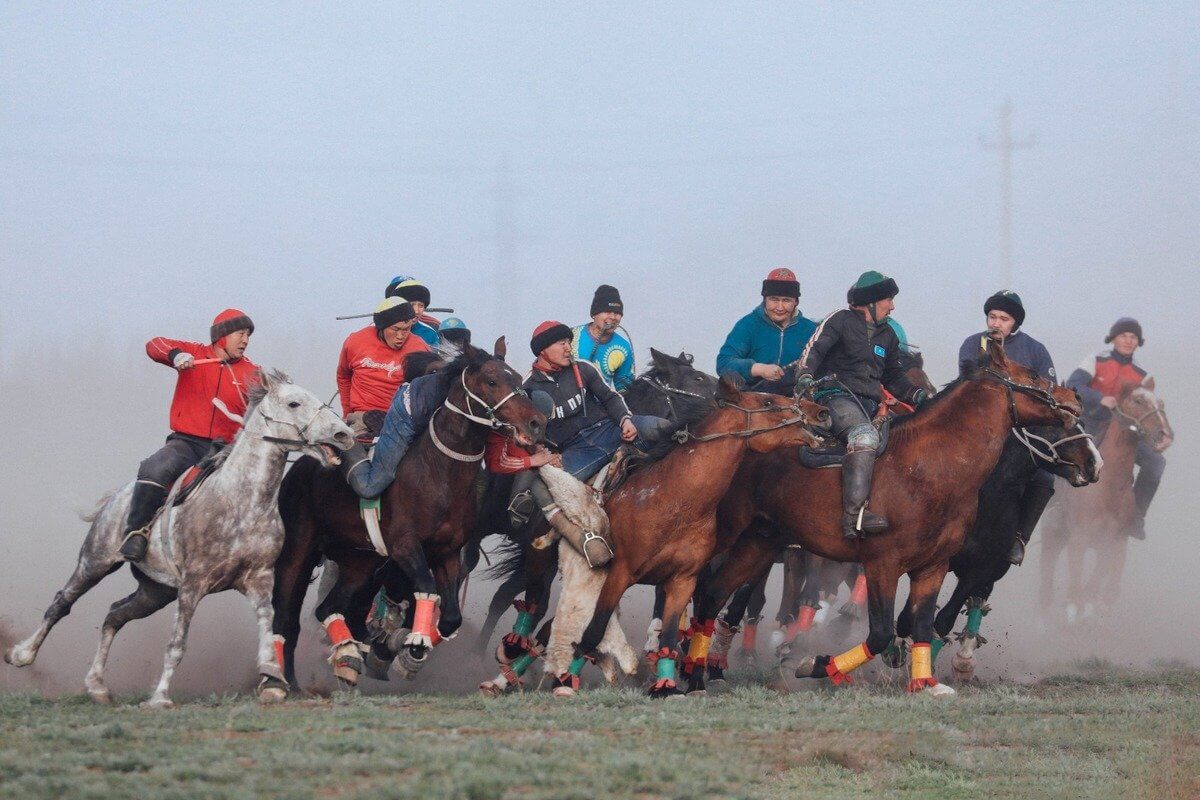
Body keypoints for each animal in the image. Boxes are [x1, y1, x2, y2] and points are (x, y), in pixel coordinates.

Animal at [5, 369, 350, 705]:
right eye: (294, 403)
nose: (343, 434)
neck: (241, 501)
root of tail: (115, 497)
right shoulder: (193, 584)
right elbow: (176, 644)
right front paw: (159, 697)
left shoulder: (259, 579)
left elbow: (267, 625)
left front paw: (271, 676)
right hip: (96, 562)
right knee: (62, 602)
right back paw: (22, 654)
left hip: (155, 591)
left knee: (114, 615)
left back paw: (97, 686)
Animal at [272, 345, 544, 690]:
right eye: (492, 380)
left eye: (519, 379)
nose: (536, 422)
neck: (438, 473)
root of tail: (300, 466)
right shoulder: (405, 547)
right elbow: (425, 589)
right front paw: (402, 648)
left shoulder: (447, 553)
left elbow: (451, 616)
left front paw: (401, 651)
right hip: (298, 552)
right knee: (285, 619)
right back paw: (285, 681)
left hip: (359, 562)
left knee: (327, 608)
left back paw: (346, 660)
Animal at [564, 376, 830, 695]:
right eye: (768, 402)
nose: (820, 412)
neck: (673, 500)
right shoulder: (620, 572)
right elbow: (595, 629)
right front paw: (565, 681)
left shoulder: (682, 578)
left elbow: (669, 636)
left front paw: (667, 685)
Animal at [686, 340, 1089, 695]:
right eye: (1033, 374)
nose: (1075, 400)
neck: (930, 468)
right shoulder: (882, 564)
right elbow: (880, 633)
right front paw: (818, 665)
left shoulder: (934, 567)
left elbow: (924, 625)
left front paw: (924, 682)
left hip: (760, 541)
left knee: (713, 593)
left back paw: (696, 673)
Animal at [1041, 383, 1171, 623]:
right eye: (1138, 401)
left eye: (1160, 403)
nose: (1165, 435)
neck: (1109, 490)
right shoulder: (1079, 539)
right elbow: (1076, 578)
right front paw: (1075, 606)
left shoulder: (1115, 542)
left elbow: (1101, 576)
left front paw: (1095, 604)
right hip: (1053, 535)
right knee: (1047, 570)